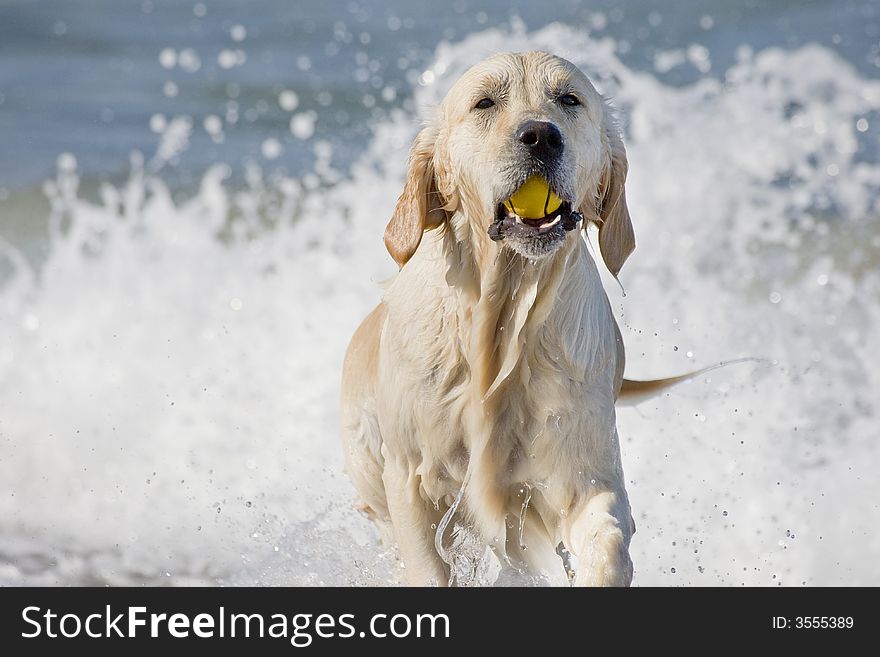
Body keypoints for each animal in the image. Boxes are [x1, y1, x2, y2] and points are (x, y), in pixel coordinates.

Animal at [344, 51, 640, 584]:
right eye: (484, 102)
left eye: (570, 99)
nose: (540, 135)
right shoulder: (410, 479)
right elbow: (425, 565)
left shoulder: (584, 471)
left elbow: (606, 540)